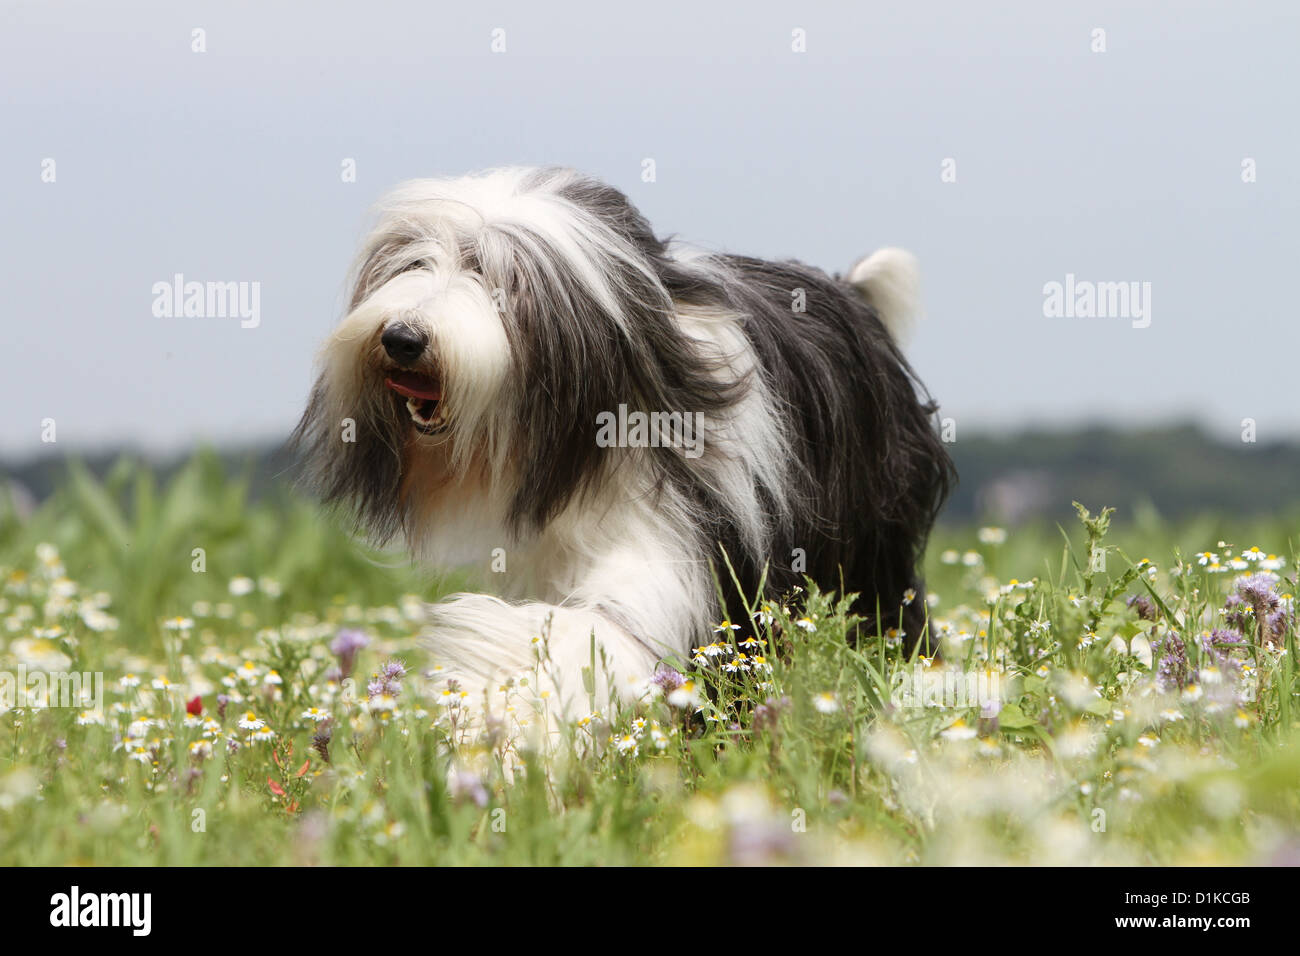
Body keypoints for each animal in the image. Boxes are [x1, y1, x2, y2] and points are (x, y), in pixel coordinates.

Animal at [297, 166, 956, 717]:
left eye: (497, 274)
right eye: (411, 262)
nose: (401, 338)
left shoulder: (681, 532)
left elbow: (598, 629)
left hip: (871, 538)